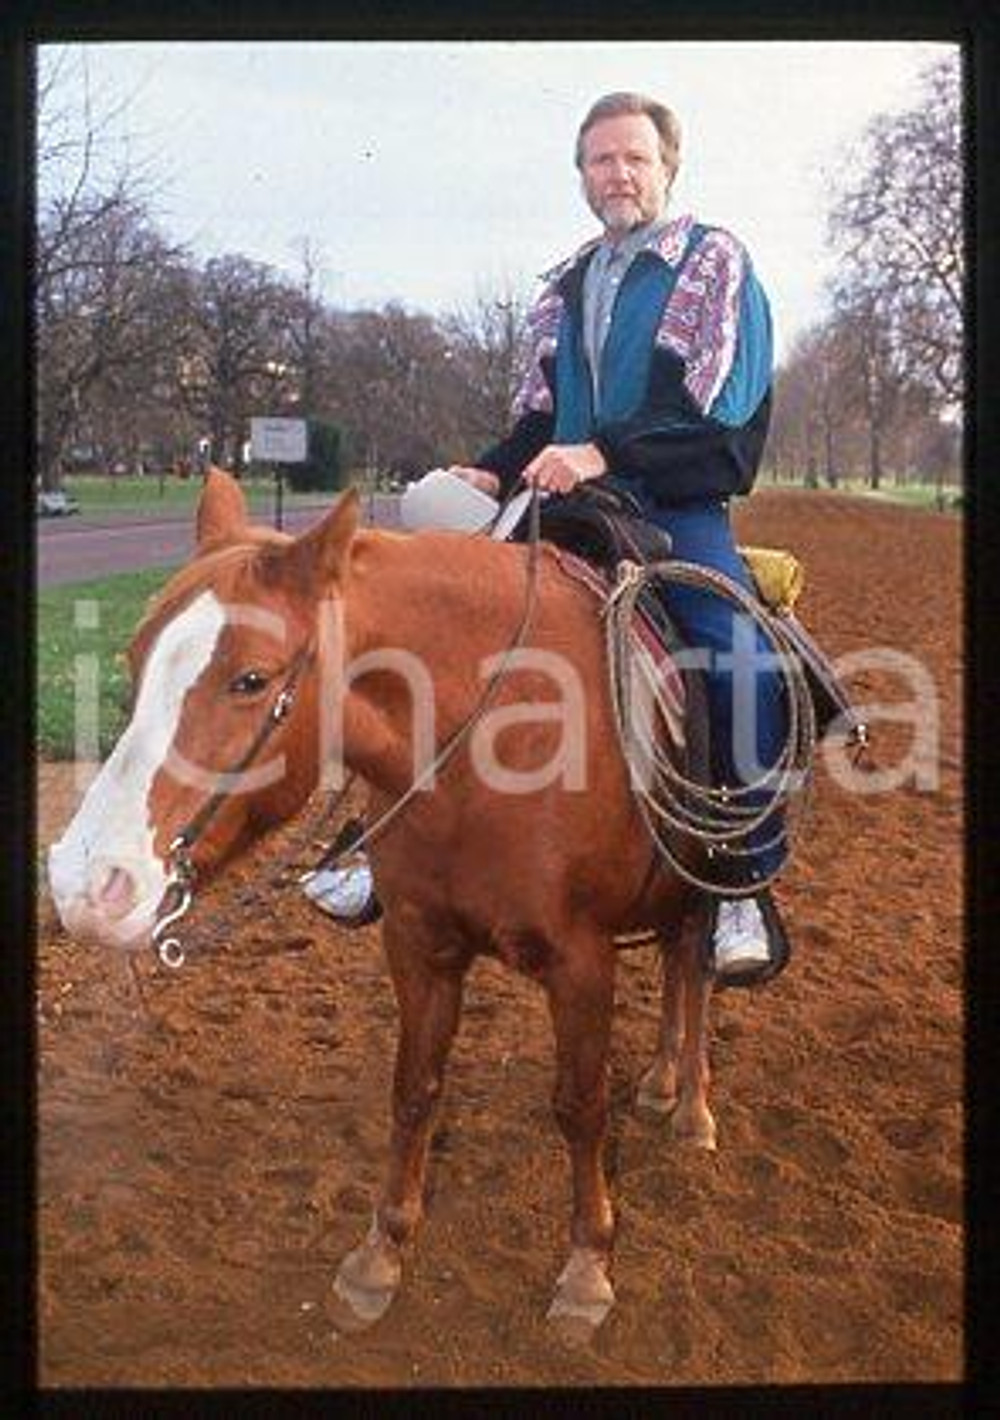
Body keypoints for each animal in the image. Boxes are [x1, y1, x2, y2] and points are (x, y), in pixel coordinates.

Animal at [48, 467, 721, 1336]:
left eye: (252, 678)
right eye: (134, 659)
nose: (85, 882)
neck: (489, 739)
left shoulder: (580, 961)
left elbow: (579, 1105)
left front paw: (586, 1267)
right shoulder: (417, 940)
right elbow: (414, 1092)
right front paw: (381, 1254)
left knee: (696, 971)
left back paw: (693, 1104)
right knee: (675, 962)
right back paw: (665, 1079)